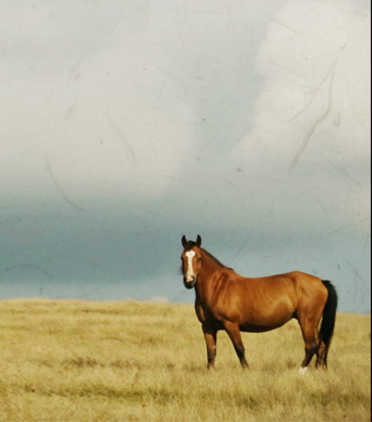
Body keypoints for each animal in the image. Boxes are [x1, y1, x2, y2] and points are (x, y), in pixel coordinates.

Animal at [180, 236, 338, 370]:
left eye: (199, 258)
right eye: (182, 258)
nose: (189, 281)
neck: (217, 286)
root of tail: (321, 281)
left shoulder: (231, 324)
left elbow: (239, 349)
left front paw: (247, 371)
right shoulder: (207, 327)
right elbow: (211, 353)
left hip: (307, 322)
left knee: (311, 346)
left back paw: (300, 371)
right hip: (313, 323)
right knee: (321, 347)